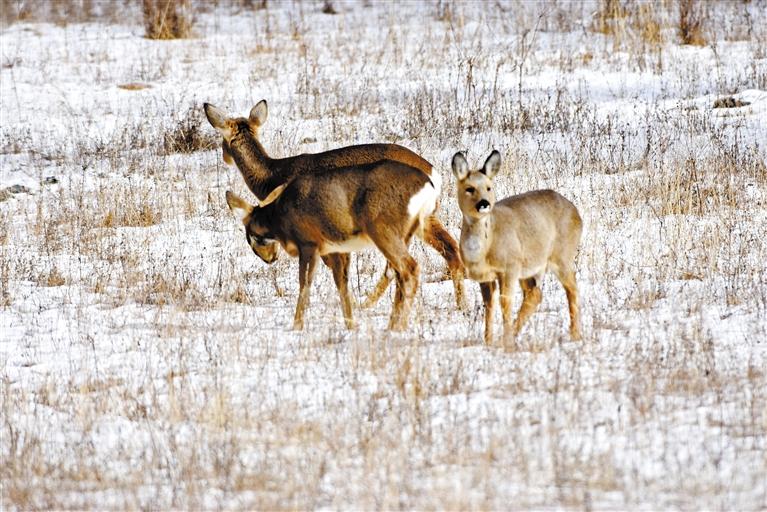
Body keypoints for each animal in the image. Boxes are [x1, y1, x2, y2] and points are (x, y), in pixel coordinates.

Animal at [204, 100, 464, 310]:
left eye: (223, 141)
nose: (225, 157)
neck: (273, 176)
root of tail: (432, 173)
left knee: (398, 264)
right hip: (423, 219)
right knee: (449, 249)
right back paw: (462, 306)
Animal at [225, 158, 438, 330]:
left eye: (251, 236)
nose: (269, 259)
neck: (278, 218)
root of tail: (428, 186)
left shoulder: (308, 243)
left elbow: (304, 284)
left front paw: (297, 326)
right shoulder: (335, 250)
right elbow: (342, 285)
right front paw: (351, 325)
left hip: (383, 230)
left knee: (410, 268)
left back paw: (397, 327)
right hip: (407, 233)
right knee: (400, 273)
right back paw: (393, 325)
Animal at [450, 150, 584, 346]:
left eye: (489, 187)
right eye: (469, 188)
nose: (484, 203)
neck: (485, 250)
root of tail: (577, 213)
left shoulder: (509, 267)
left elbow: (505, 303)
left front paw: (505, 342)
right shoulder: (486, 275)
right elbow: (489, 305)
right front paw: (488, 341)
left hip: (562, 255)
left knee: (572, 288)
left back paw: (574, 335)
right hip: (529, 266)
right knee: (535, 294)